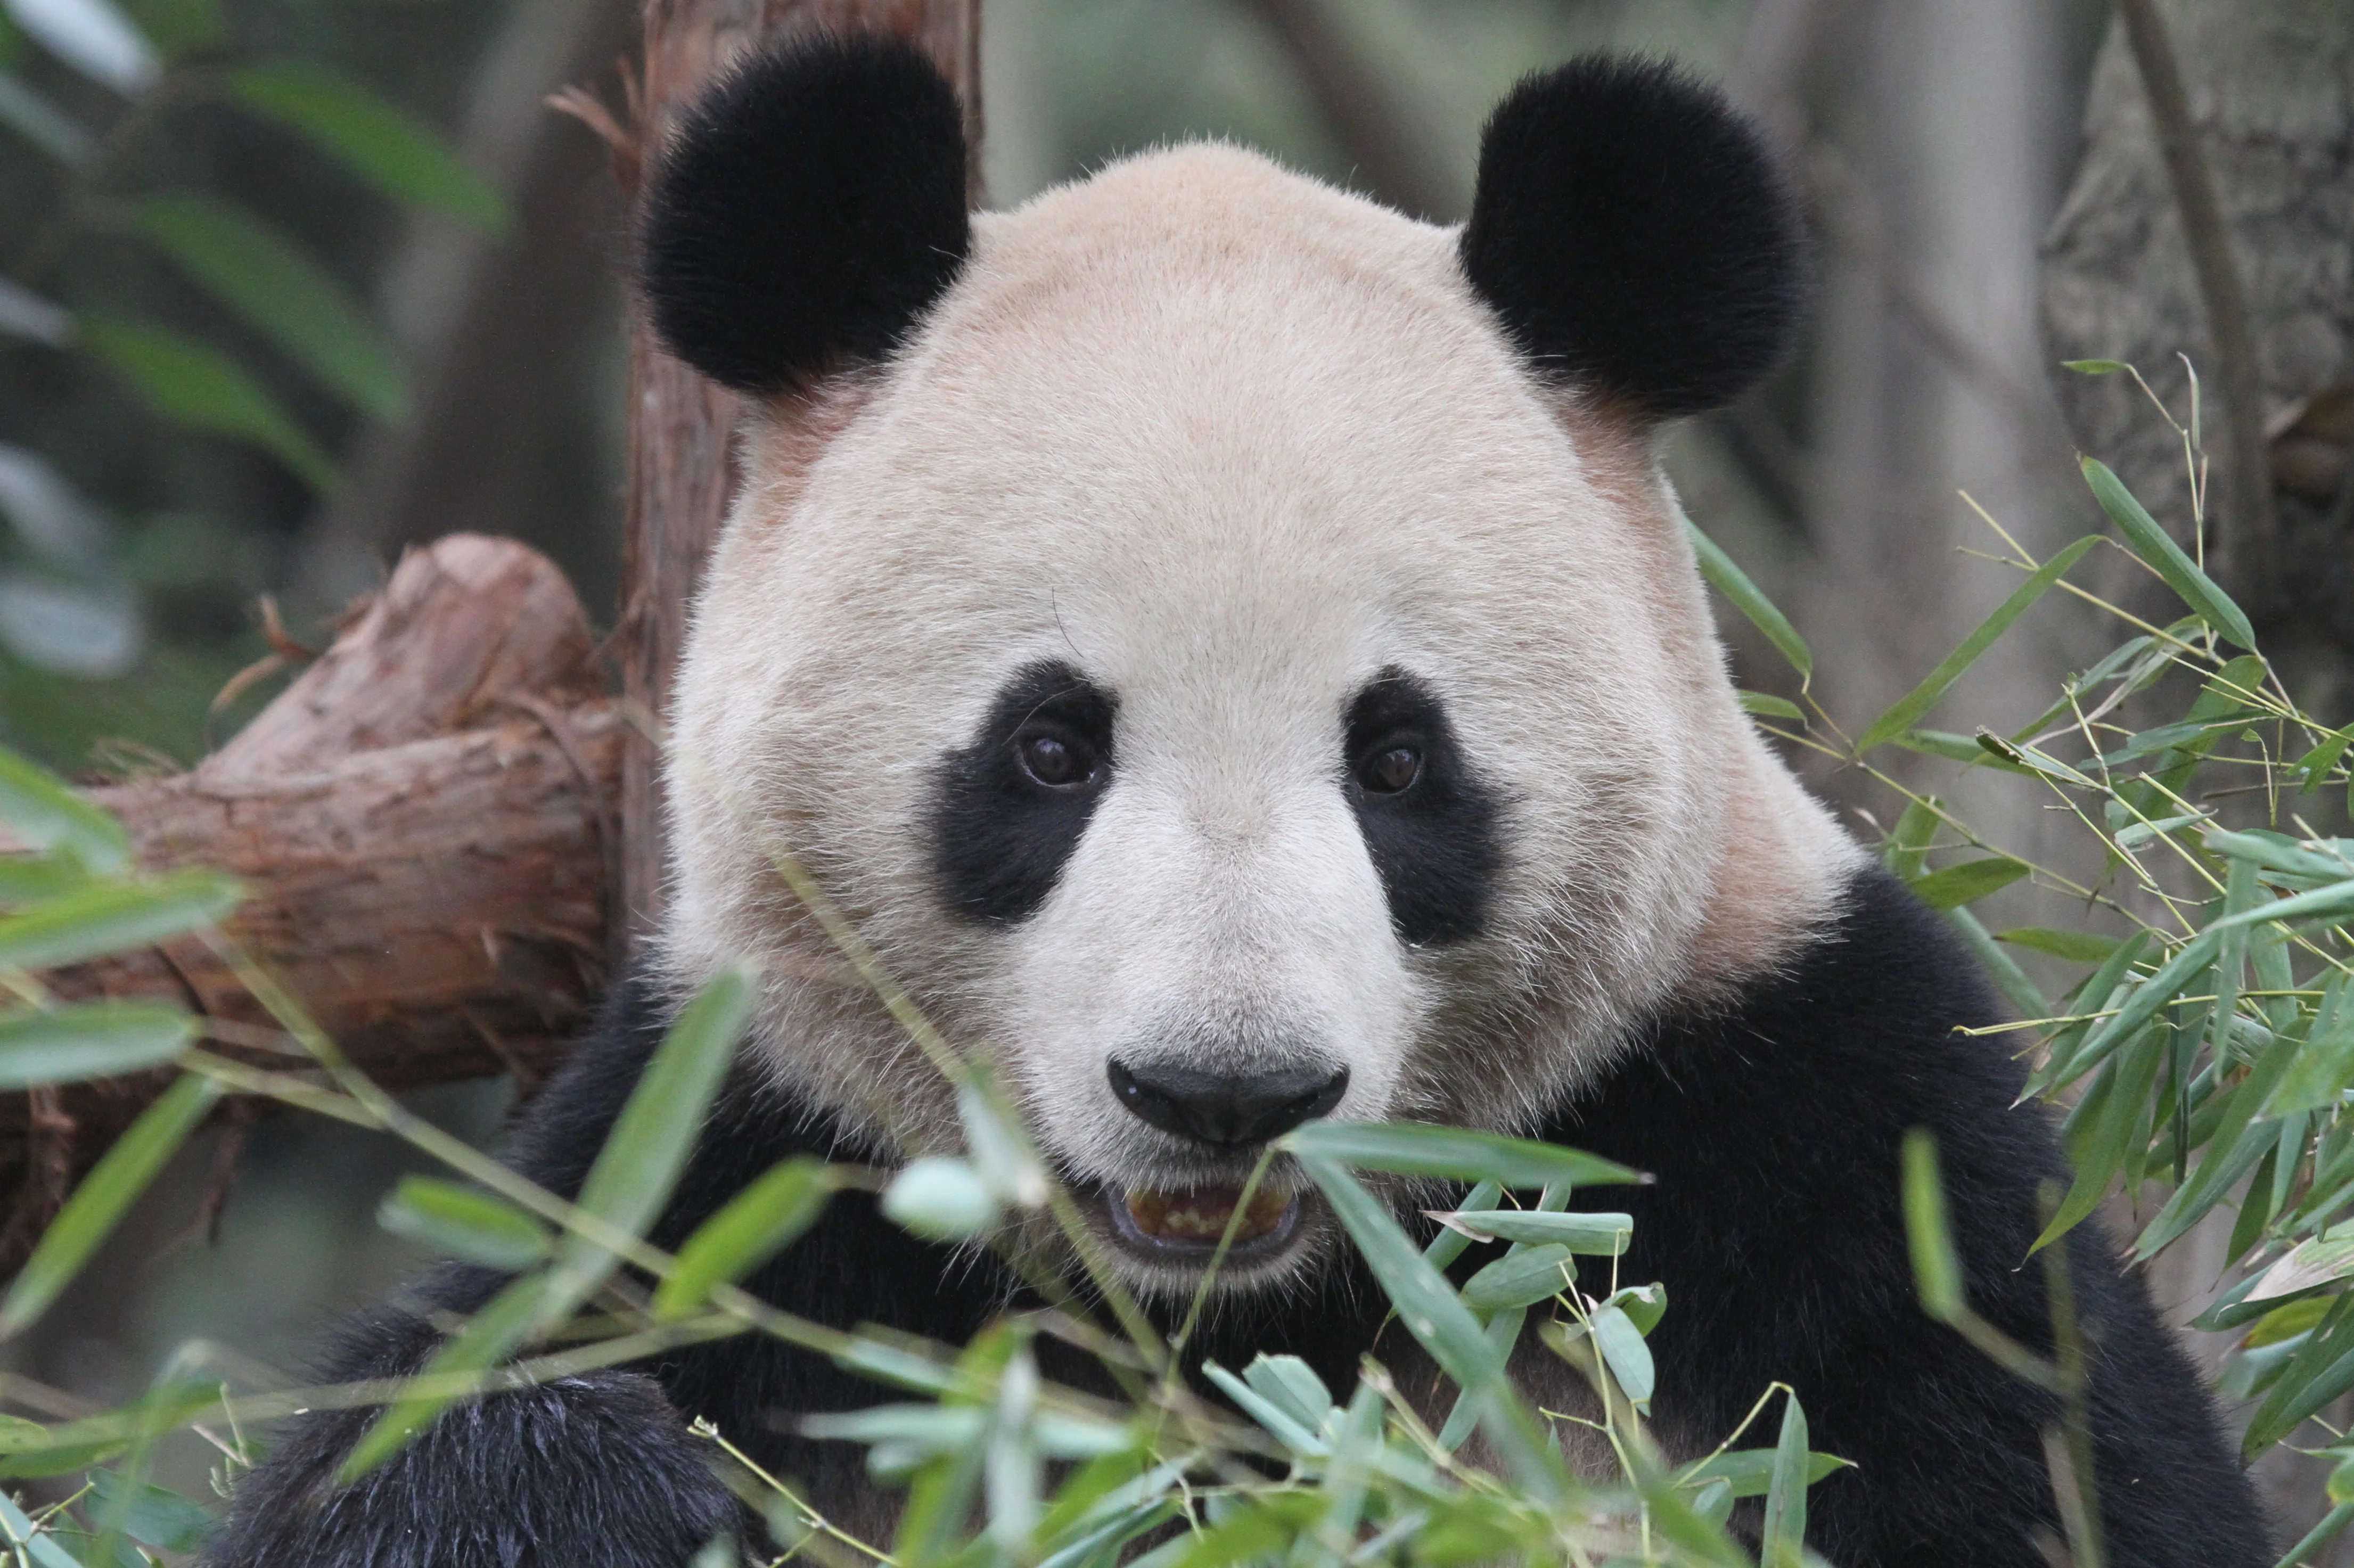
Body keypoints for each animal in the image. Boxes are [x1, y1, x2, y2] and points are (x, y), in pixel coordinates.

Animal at [207, 34, 2266, 1568]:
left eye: (1399, 760)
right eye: (1049, 749)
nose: (1222, 1093)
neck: (1237, 1314)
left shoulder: (1800, 1115)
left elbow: (2044, 1462)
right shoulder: (745, 1154)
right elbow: (403, 1429)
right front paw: (586, 1472)